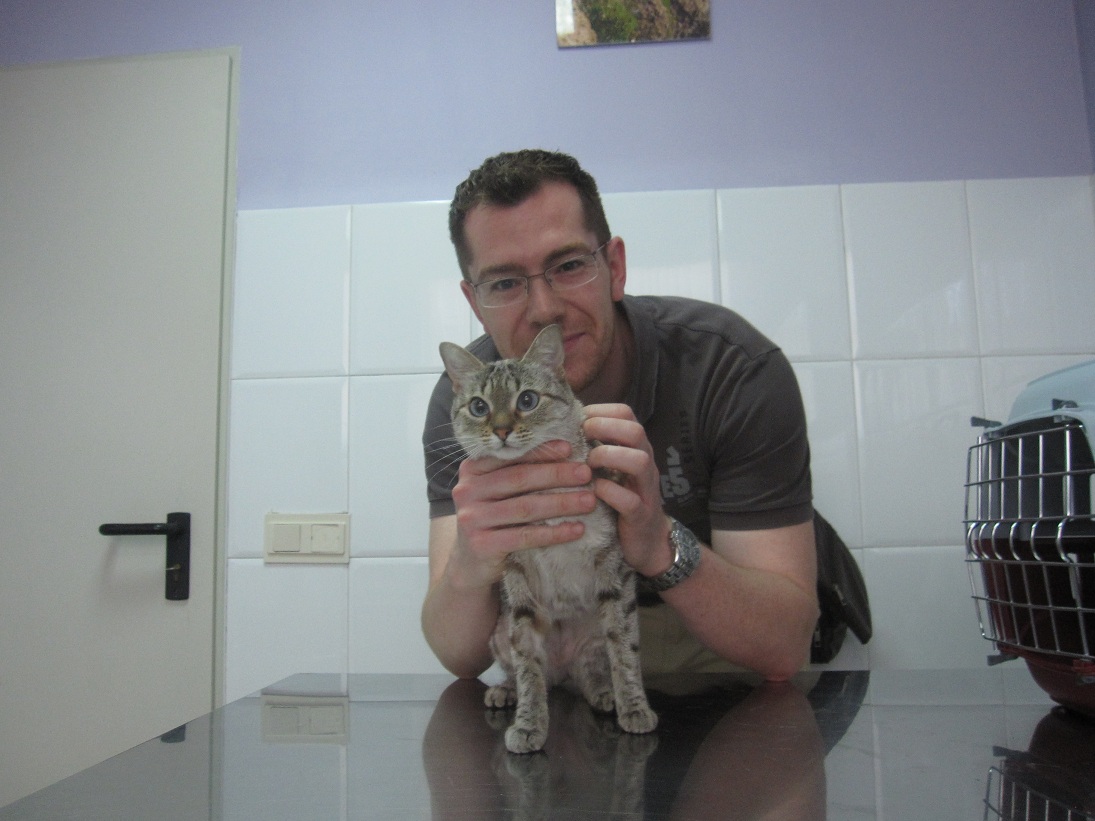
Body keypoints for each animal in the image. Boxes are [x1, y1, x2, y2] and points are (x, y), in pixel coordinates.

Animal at [439, 324, 658, 754]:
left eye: (527, 399)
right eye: (478, 407)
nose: (502, 430)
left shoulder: (613, 566)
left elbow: (625, 648)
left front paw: (634, 707)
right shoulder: (516, 577)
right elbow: (528, 666)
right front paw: (529, 723)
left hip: (590, 635)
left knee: (588, 671)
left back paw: (605, 694)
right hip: (499, 631)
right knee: (533, 672)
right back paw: (504, 691)